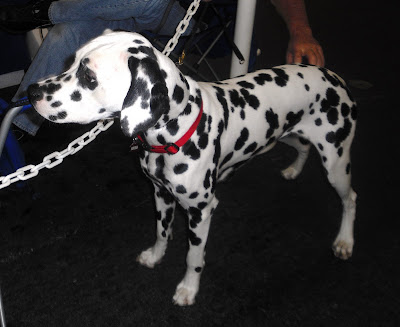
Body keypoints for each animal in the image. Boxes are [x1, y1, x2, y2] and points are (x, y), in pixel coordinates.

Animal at [28, 29, 360, 306]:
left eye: (89, 78)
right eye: (71, 62)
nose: (32, 92)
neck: (176, 134)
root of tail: (334, 77)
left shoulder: (201, 212)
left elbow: (193, 256)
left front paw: (188, 289)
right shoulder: (161, 195)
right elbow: (162, 232)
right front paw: (155, 256)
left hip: (336, 164)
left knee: (350, 199)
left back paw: (344, 240)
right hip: (286, 135)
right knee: (303, 147)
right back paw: (294, 169)